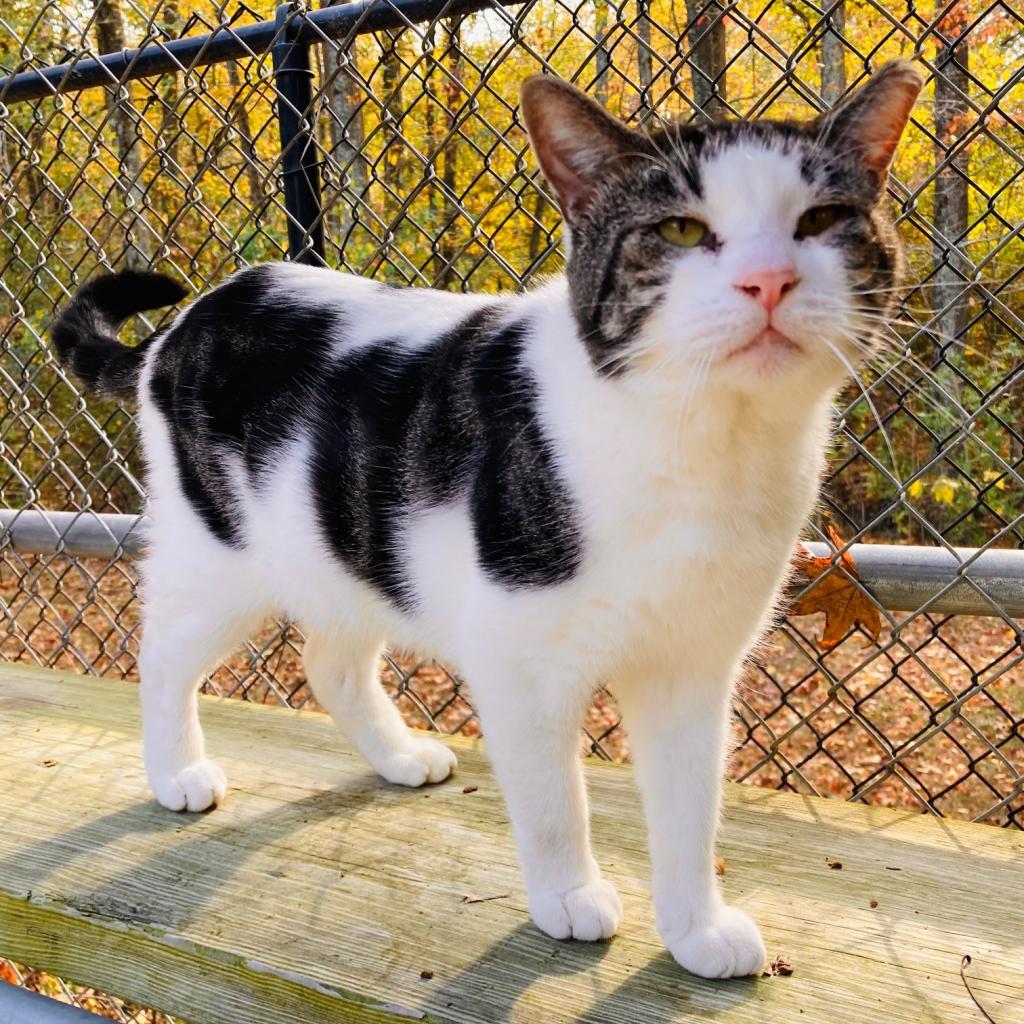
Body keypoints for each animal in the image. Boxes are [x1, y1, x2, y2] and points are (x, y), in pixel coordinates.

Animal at [51, 61, 925, 974]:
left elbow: (690, 810)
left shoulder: (692, 665)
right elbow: (553, 800)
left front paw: (696, 930)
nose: (769, 280)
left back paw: (397, 757)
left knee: (329, 662)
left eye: (820, 220)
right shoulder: (521, 662)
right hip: (220, 555)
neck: (699, 444)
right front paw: (569, 896)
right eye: (682, 230)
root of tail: (188, 321)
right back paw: (176, 773)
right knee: (162, 655)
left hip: (345, 551)